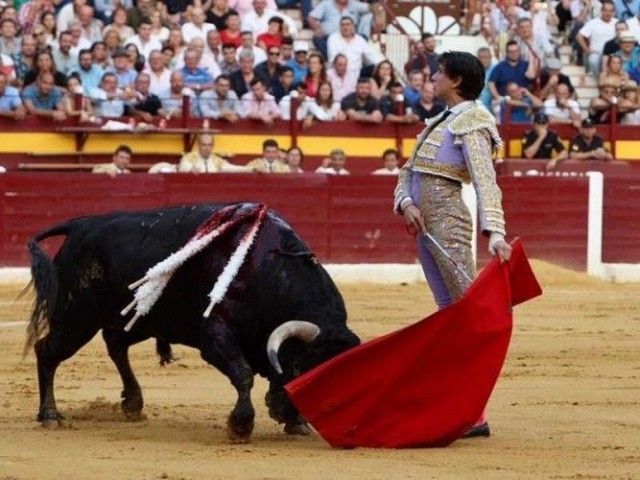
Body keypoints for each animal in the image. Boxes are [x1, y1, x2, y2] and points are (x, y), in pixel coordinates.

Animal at [26, 202, 360, 442]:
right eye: (302, 368)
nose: (288, 414)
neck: (268, 267)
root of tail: (80, 224)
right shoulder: (215, 335)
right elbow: (243, 374)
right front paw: (240, 426)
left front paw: (295, 423)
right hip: (76, 318)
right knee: (47, 351)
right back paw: (50, 415)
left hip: (138, 318)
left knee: (116, 345)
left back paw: (133, 404)